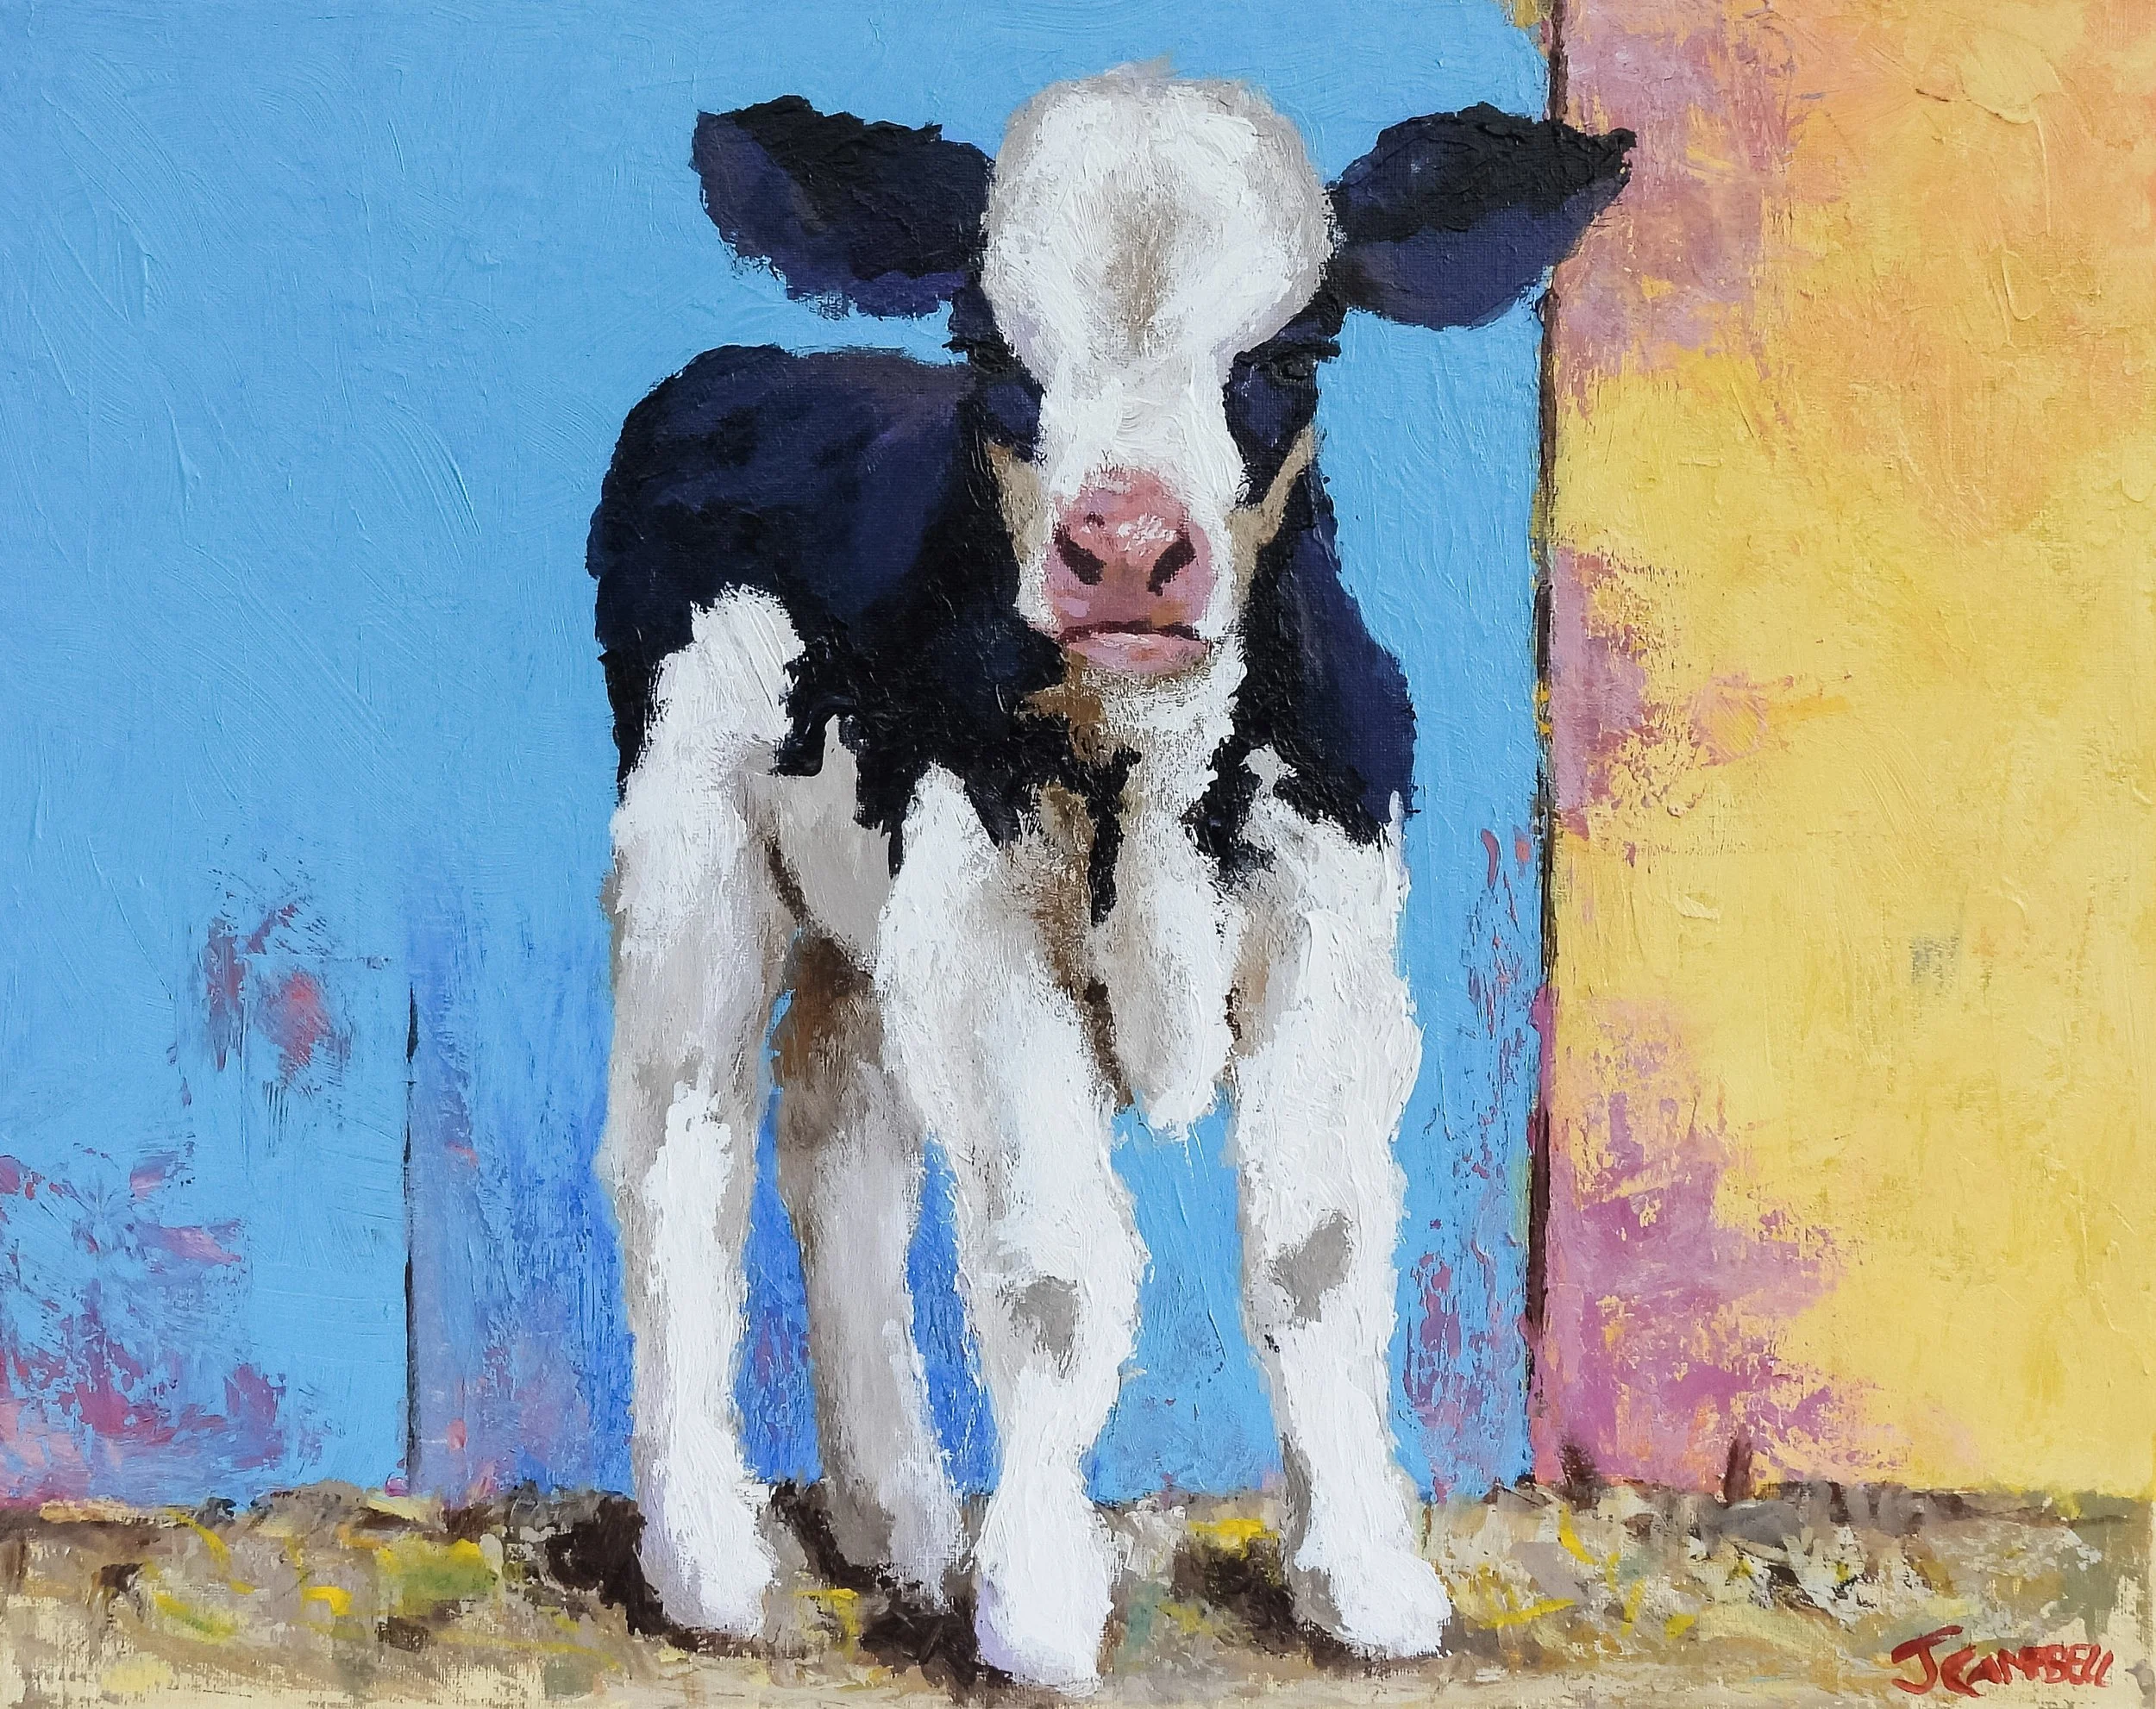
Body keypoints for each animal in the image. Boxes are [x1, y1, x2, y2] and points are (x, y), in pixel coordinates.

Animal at [589, 66, 1627, 1692]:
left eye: (1298, 347)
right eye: (985, 341)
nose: (1130, 547)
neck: (1154, 755)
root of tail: (747, 367)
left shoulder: (1333, 935)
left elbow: (1319, 1248)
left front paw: (1366, 1577)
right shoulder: (984, 944)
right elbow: (1055, 1274)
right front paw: (1039, 1602)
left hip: (859, 920)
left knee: (843, 1149)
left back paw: (900, 1519)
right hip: (694, 854)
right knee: (681, 1148)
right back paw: (714, 1558)